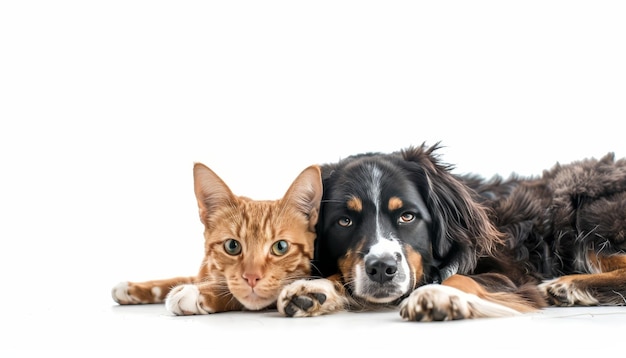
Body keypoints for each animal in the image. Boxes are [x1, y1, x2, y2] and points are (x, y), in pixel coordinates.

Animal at [110, 164, 322, 314]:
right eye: (232, 246)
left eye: (281, 247)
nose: (252, 278)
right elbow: (179, 278)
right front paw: (137, 288)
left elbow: (236, 292)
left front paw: (198, 292)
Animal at [278, 143, 626, 322]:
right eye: (344, 222)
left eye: (408, 216)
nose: (382, 269)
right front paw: (314, 288)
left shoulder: (512, 274)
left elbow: (460, 278)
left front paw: (439, 295)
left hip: (581, 208)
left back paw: (569, 286)